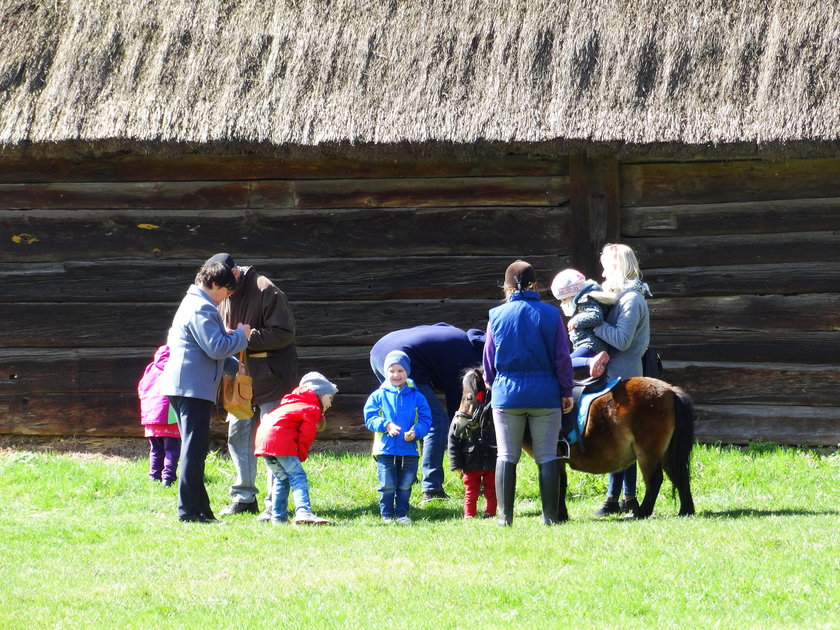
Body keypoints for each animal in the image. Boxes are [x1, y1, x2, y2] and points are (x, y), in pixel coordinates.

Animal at [460, 370, 696, 524]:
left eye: (469, 397)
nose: (458, 424)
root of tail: (671, 391)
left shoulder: (552, 456)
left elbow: (556, 483)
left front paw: (556, 515)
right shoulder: (558, 459)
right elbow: (560, 483)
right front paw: (561, 514)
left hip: (648, 453)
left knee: (655, 481)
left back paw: (642, 512)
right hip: (666, 454)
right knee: (680, 477)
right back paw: (686, 510)